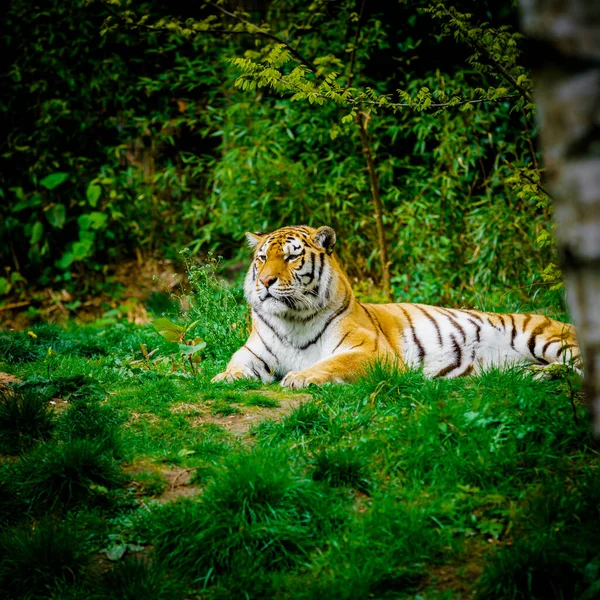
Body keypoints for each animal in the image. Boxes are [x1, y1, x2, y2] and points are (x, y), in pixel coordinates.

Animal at [212, 225, 580, 390]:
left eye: (290, 257)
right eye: (262, 258)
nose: (266, 281)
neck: (292, 319)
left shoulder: (371, 351)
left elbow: (331, 364)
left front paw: (300, 377)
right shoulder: (254, 351)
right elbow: (237, 363)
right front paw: (223, 377)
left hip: (544, 337)